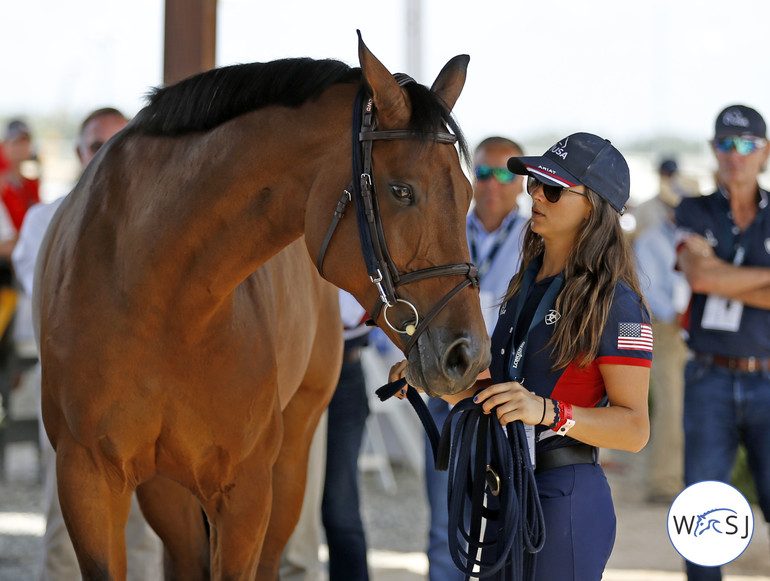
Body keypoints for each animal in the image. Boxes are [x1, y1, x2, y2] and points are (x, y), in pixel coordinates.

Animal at [34, 32, 486, 580]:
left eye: (466, 192)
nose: (467, 356)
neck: (158, 298)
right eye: (402, 191)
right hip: (166, 488)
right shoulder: (88, 480)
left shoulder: (245, 489)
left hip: (290, 458)